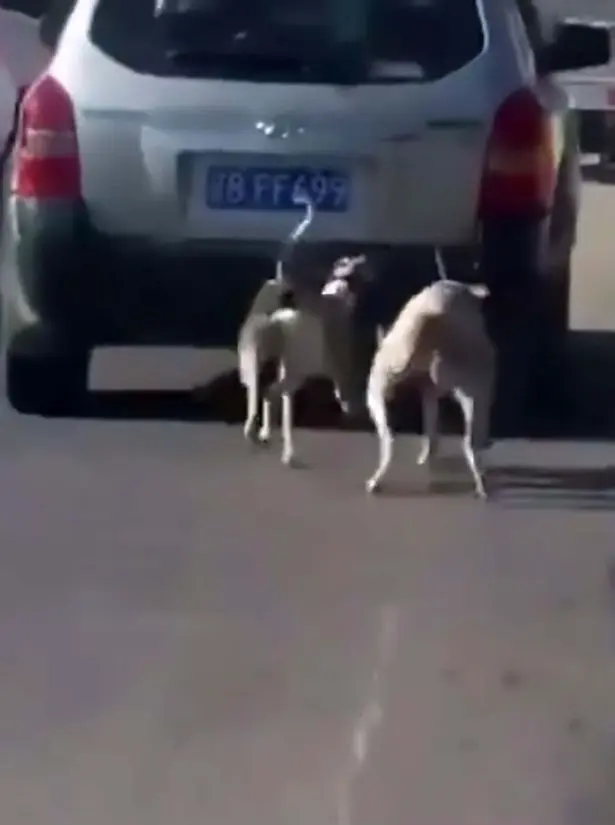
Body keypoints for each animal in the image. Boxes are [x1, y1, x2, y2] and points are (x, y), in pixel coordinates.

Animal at [237, 191, 370, 466]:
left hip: (256, 359)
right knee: (269, 393)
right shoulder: (338, 361)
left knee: (258, 393)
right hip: (292, 369)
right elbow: (345, 388)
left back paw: (258, 433)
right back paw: (270, 439)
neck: (337, 294)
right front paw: (352, 408)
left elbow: (286, 408)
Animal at [366, 251, 496, 496]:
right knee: (469, 440)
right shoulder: (431, 393)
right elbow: (432, 430)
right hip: (475, 391)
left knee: (391, 440)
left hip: (377, 392)